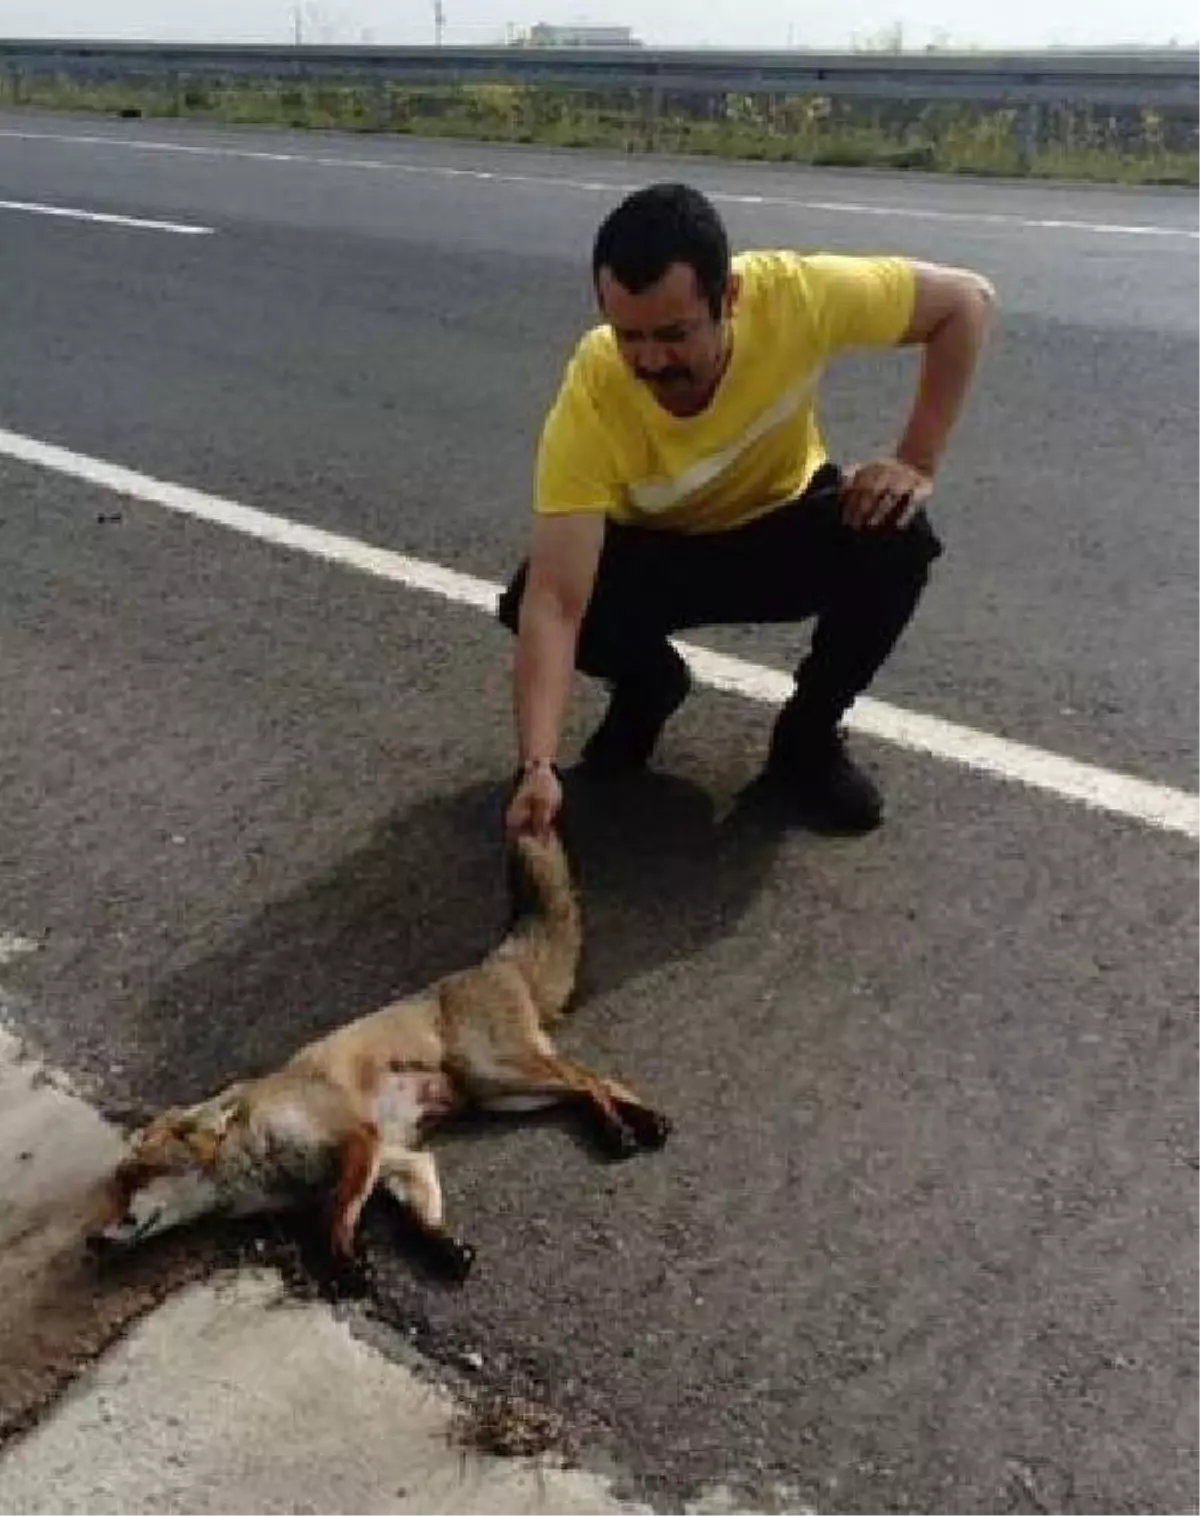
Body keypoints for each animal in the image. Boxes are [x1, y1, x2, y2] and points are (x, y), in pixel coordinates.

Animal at [84, 824, 669, 1285]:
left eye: (133, 1179)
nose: (91, 1241)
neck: (252, 1157)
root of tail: (491, 964)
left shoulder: (356, 1141)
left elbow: (335, 1215)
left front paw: (346, 1262)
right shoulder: (395, 1158)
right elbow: (418, 1207)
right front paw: (442, 1248)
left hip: (494, 1074)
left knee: (587, 1078)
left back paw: (619, 1130)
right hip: (501, 1095)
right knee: (596, 1079)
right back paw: (645, 1121)